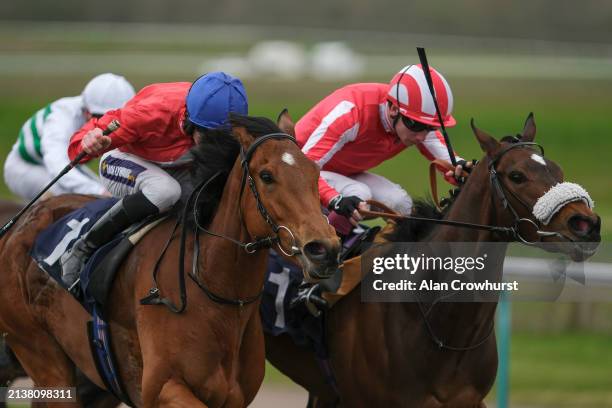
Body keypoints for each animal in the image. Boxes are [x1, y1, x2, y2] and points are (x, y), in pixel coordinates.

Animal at [0, 115, 342, 408]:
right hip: (43, 357)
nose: (323, 249)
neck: (214, 291)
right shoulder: (163, 388)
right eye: (267, 176)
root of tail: (18, 226)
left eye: (315, 173)